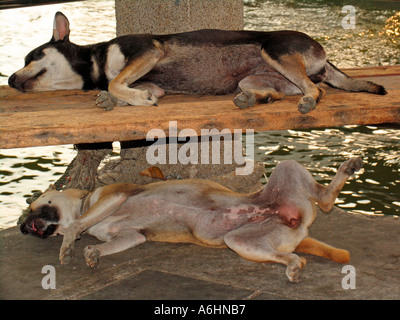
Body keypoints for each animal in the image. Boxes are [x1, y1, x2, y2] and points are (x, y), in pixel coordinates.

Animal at [7, 11, 386, 114]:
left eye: (31, 57)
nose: (9, 80)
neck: (96, 61)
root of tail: (325, 54)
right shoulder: (149, 77)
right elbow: (121, 88)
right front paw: (118, 99)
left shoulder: (148, 51)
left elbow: (117, 82)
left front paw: (127, 97)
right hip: (257, 77)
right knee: (280, 92)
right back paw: (253, 99)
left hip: (274, 51)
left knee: (316, 91)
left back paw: (307, 100)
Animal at [20, 158, 362, 282]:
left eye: (33, 206)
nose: (22, 227)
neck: (84, 204)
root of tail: (297, 223)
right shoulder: (131, 236)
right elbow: (112, 243)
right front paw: (91, 254)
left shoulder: (114, 195)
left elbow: (75, 226)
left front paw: (69, 244)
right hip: (243, 241)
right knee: (294, 250)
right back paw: (294, 265)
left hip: (285, 172)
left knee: (324, 199)